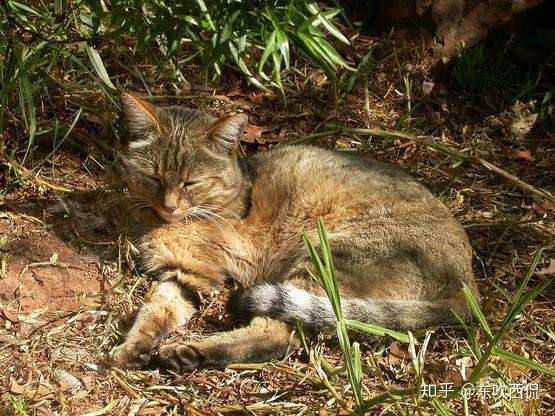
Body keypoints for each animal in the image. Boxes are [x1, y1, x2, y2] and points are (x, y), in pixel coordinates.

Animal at [111, 92, 480, 372]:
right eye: (154, 178)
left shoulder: (237, 252)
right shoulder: (184, 275)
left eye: (191, 183)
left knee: (278, 332)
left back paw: (190, 351)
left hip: (324, 255)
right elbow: (154, 310)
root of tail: (468, 286)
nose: (169, 206)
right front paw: (131, 347)